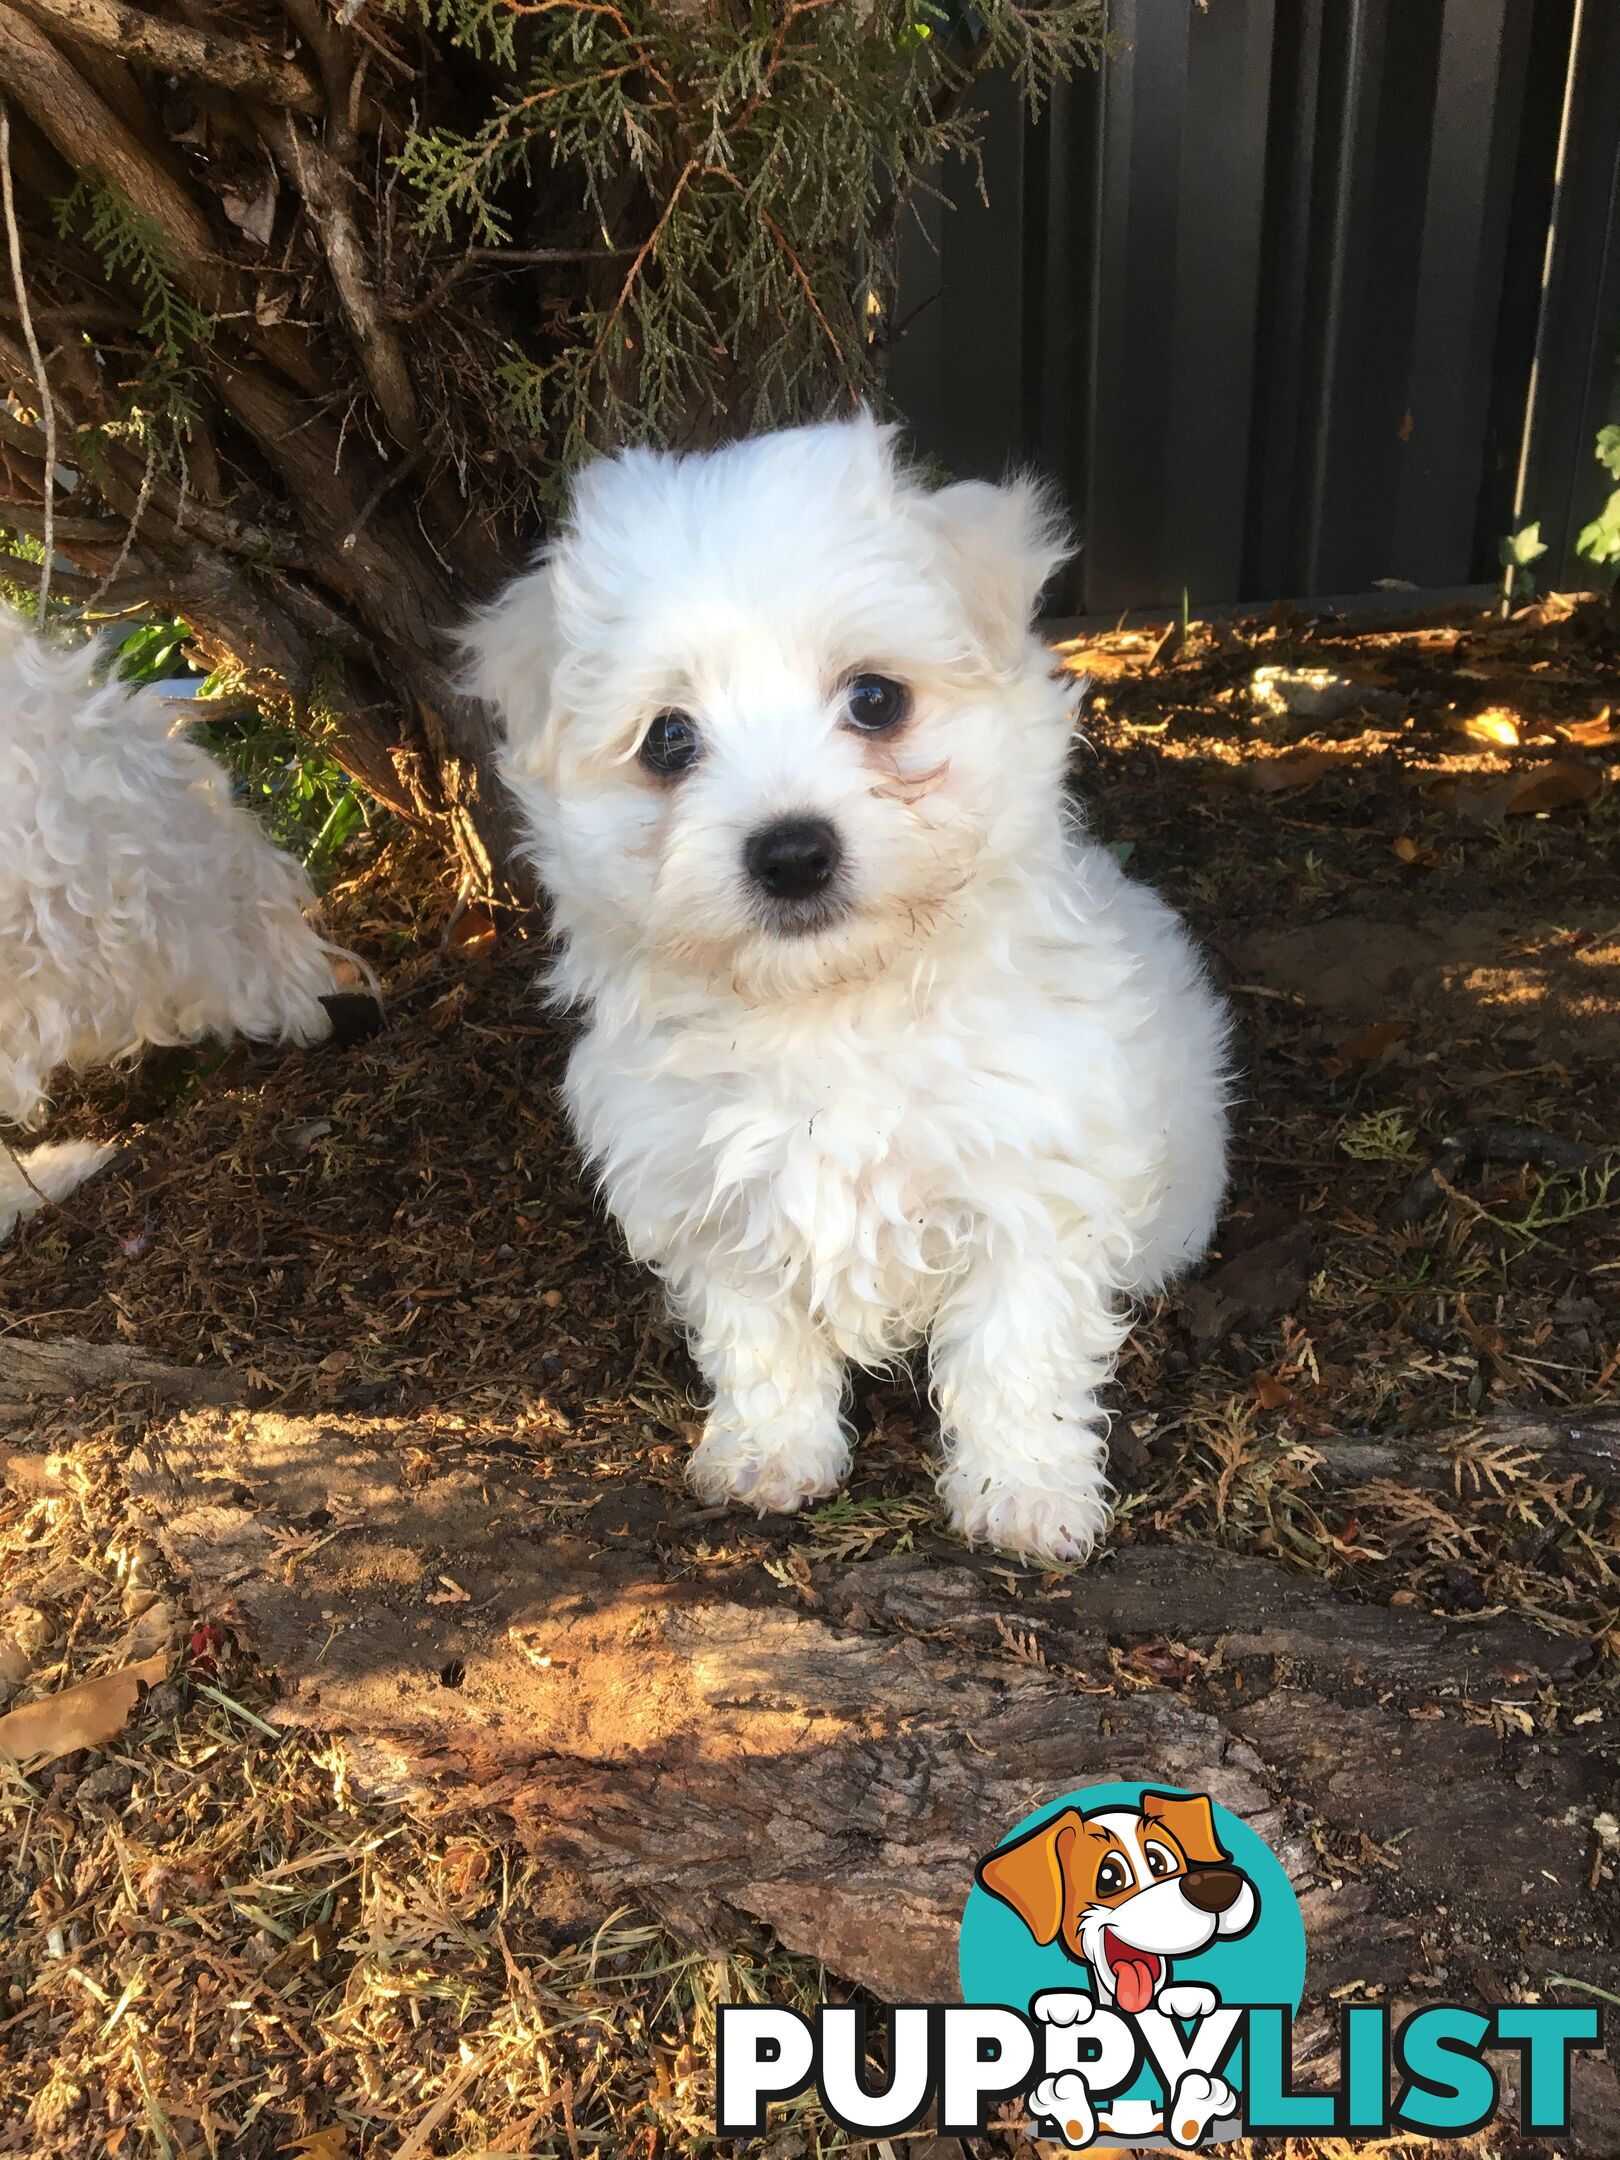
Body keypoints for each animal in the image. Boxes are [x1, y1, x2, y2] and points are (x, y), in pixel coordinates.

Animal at [468, 412, 1226, 1563]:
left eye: (877, 699)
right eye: (668, 739)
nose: (791, 853)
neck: (830, 1010)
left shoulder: (1030, 1183)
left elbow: (1017, 1351)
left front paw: (1024, 1493)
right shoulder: (710, 1194)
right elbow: (761, 1340)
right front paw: (768, 1456)